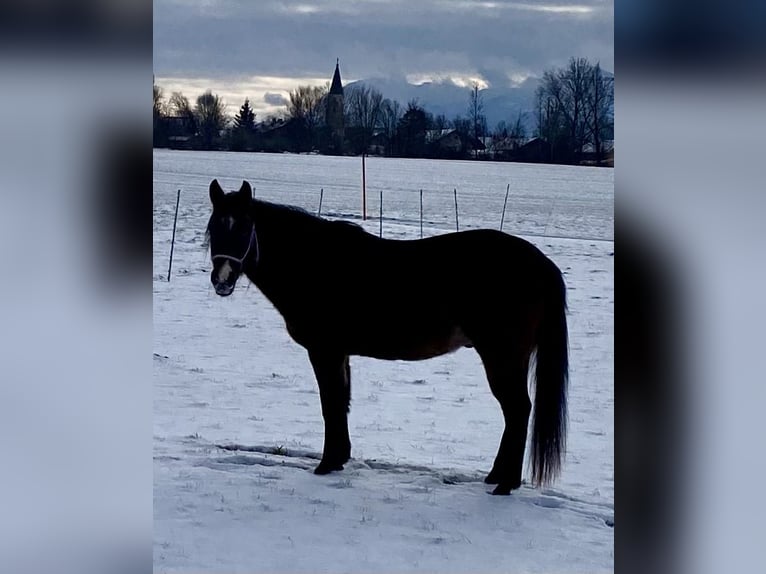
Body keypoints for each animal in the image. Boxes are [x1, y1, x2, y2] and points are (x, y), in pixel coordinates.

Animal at [205, 179, 569, 495]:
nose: (222, 280)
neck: (317, 264)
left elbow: (330, 403)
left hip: (502, 356)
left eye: (243, 227)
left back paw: (505, 485)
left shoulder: (324, 351)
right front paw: (338, 459)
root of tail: (541, 264)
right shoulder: (340, 353)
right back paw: (497, 476)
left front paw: (326, 464)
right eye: (214, 228)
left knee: (518, 410)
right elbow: (341, 402)